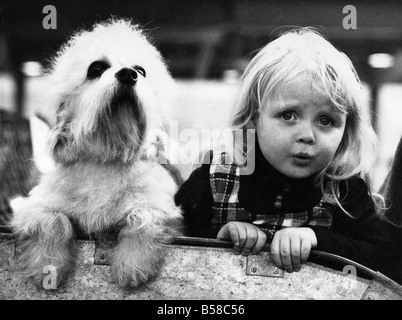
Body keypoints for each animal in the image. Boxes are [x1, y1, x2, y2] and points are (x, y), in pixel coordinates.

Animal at [11, 18, 183, 288]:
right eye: (96, 68)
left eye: (141, 70)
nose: (128, 74)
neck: (108, 156)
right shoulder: (36, 205)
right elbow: (51, 220)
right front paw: (47, 267)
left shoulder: (161, 206)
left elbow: (142, 217)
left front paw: (132, 264)